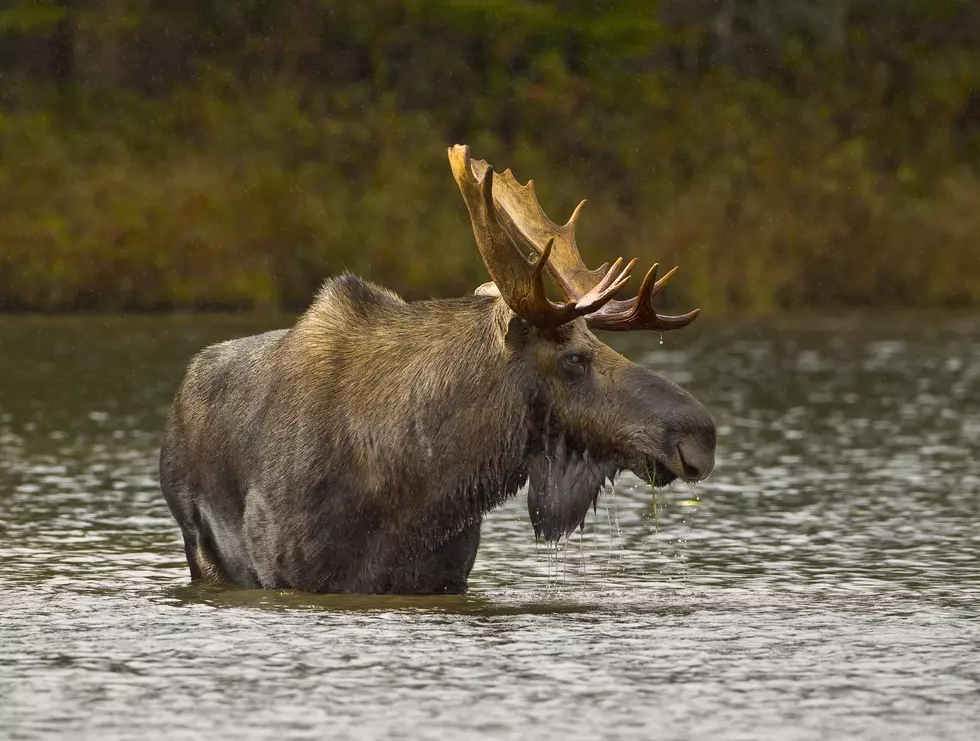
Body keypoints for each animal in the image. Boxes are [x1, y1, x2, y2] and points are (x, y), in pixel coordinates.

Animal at [159, 145, 712, 592]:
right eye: (574, 358)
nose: (700, 435)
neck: (423, 481)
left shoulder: (444, 575)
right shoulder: (290, 572)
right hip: (202, 550)